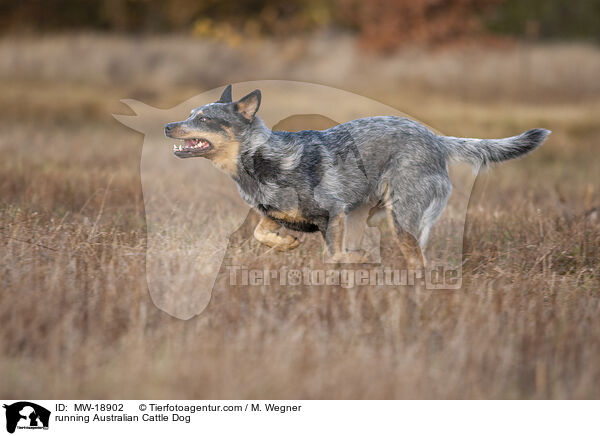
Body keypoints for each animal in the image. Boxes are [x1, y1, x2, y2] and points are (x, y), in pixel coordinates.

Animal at [163, 84, 548, 270]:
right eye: (191, 113)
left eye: (205, 119)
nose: (167, 125)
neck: (262, 159)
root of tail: (437, 139)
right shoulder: (277, 215)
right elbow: (262, 233)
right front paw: (286, 244)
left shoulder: (332, 215)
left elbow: (334, 256)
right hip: (366, 214)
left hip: (401, 219)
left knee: (418, 261)